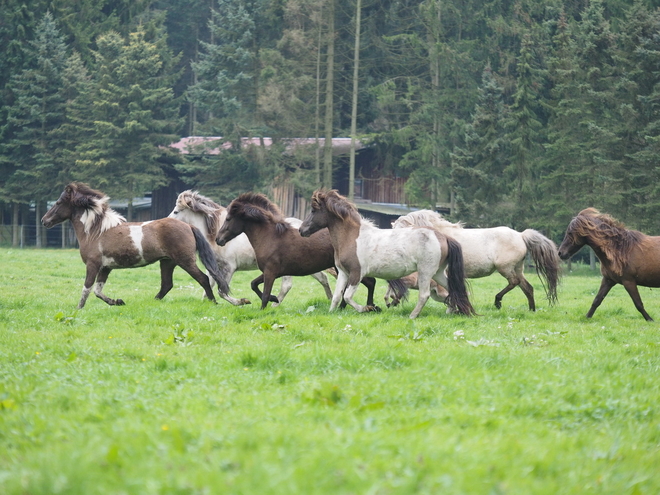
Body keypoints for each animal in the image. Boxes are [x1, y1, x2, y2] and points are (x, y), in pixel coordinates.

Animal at [43, 182, 229, 310]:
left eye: (58, 203)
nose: (44, 220)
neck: (95, 232)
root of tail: (189, 226)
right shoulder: (105, 267)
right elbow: (98, 290)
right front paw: (118, 301)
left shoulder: (93, 265)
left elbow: (87, 289)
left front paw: (78, 309)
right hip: (167, 262)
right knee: (167, 285)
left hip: (185, 261)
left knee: (203, 279)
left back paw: (213, 302)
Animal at [170, 191, 336, 304]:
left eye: (176, 211)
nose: (166, 222)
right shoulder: (215, 268)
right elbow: (209, 286)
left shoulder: (230, 267)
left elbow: (222, 291)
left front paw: (242, 302)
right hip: (307, 265)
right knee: (323, 278)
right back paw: (330, 298)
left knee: (287, 286)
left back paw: (275, 303)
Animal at [213, 193, 374, 310]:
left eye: (228, 219)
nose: (218, 239)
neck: (269, 237)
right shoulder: (271, 272)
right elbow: (253, 284)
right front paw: (273, 298)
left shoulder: (271, 272)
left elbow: (264, 295)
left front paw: (266, 306)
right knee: (367, 283)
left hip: (348, 268)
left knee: (367, 283)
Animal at [300, 188, 474, 320]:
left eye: (314, 210)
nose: (302, 230)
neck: (352, 237)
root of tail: (443, 236)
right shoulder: (343, 273)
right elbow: (337, 296)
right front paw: (332, 313)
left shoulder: (357, 273)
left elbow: (347, 296)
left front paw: (369, 308)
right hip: (437, 272)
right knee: (453, 288)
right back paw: (452, 311)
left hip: (425, 272)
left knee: (424, 295)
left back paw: (413, 316)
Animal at [394, 211, 560, 312]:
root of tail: (521, 235)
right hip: (518, 268)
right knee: (527, 287)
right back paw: (531, 310)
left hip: (505, 268)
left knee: (514, 282)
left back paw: (498, 301)